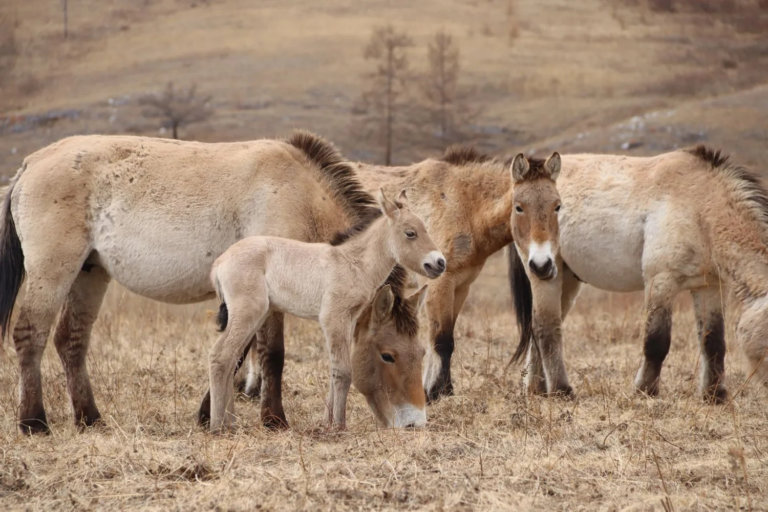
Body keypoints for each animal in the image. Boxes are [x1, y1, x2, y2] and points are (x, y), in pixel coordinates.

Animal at [0, 131, 379, 434]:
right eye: (387, 354)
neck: (301, 196)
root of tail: (30, 164)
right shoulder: (266, 298)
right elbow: (271, 354)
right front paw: (273, 420)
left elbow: (238, 353)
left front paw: (207, 414)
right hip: (53, 271)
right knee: (31, 335)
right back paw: (34, 422)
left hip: (89, 273)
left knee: (71, 341)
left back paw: (90, 418)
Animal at [206, 189, 444, 432]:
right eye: (410, 233)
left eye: (421, 353)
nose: (439, 263)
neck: (353, 263)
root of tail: (220, 262)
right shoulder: (333, 317)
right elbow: (343, 371)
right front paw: (339, 426)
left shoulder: (349, 319)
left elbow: (335, 369)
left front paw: (327, 422)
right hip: (248, 312)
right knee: (220, 355)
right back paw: (217, 426)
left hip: (256, 316)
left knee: (231, 357)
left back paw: (230, 422)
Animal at [509, 145, 768, 402]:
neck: (701, 207)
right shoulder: (661, 281)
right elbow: (656, 342)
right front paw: (645, 390)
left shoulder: (708, 287)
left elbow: (713, 342)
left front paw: (714, 395)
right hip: (544, 274)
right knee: (546, 327)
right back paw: (561, 390)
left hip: (568, 279)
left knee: (542, 328)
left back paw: (536, 388)